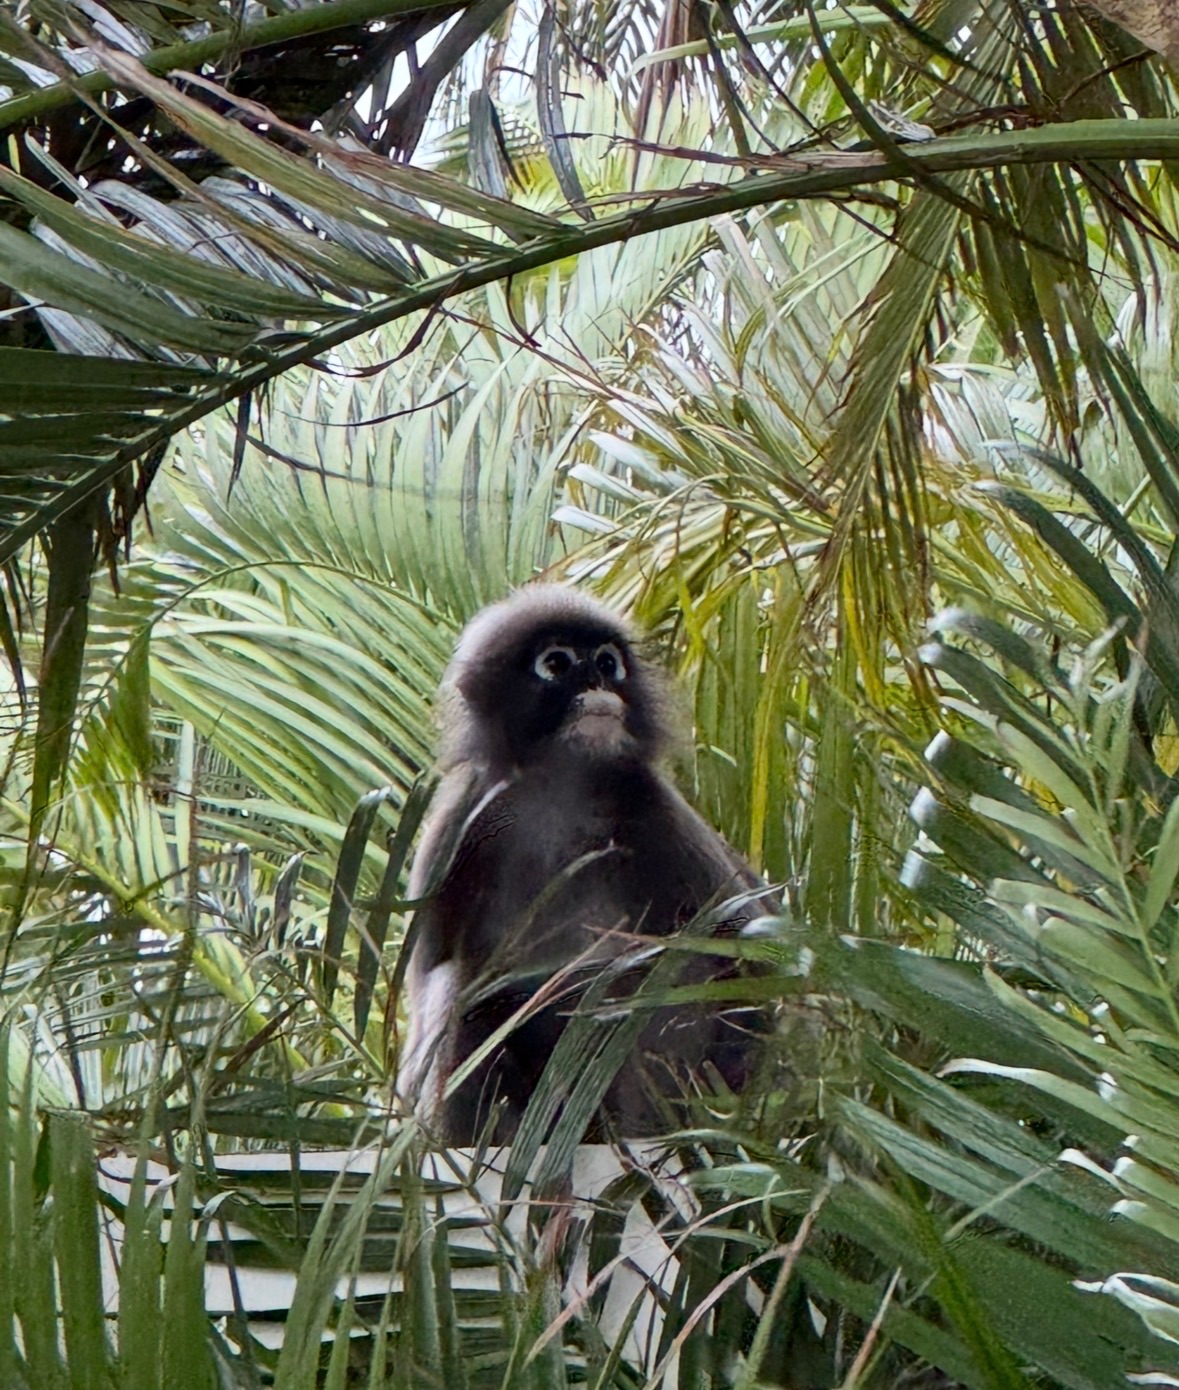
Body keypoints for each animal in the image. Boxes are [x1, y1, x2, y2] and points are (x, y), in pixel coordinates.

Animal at [395, 584, 777, 1144]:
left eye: (606, 662)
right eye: (556, 663)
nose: (597, 681)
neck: (566, 791)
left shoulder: (652, 805)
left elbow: (747, 949)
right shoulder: (464, 817)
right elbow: (430, 982)